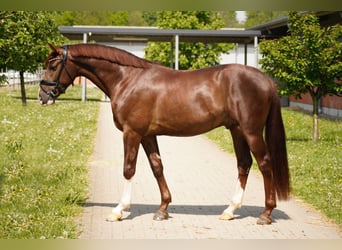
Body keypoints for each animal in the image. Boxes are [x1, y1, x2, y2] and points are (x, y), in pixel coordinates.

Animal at [40, 43, 292, 225]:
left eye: (52, 66)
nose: (43, 96)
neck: (127, 79)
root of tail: (266, 80)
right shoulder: (147, 135)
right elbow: (157, 167)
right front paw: (163, 209)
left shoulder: (132, 133)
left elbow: (128, 169)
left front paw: (119, 210)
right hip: (236, 130)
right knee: (244, 164)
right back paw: (230, 210)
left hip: (251, 132)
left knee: (264, 164)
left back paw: (266, 213)